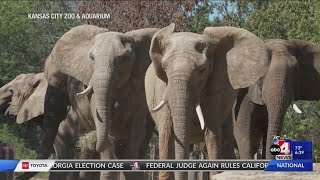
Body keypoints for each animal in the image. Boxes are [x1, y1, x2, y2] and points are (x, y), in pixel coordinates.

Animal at [145, 23, 270, 179]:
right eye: (164, 68)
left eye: (202, 70)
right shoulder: (163, 89)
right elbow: (166, 135)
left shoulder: (216, 92)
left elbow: (212, 135)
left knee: (225, 142)